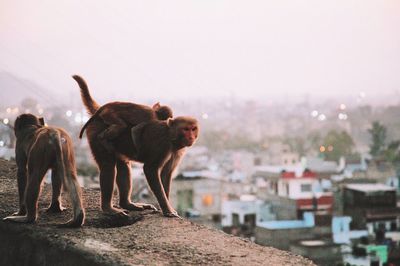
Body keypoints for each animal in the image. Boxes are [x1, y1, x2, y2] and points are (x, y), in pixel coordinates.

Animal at [72, 75, 198, 218]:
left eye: (193, 129)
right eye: (186, 129)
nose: (191, 137)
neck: (172, 137)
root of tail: (101, 110)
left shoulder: (178, 151)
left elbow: (166, 173)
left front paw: (166, 207)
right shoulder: (162, 144)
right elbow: (150, 168)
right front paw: (167, 209)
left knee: (123, 164)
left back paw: (127, 204)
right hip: (95, 131)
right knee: (108, 165)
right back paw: (108, 208)